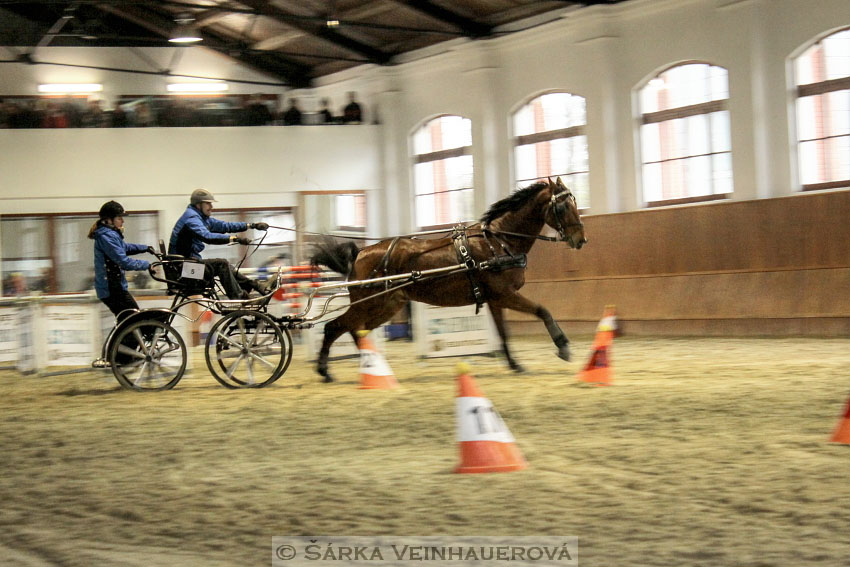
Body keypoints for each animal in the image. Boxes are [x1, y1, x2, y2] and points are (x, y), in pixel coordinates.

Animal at [310, 178, 584, 382]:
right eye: (562, 207)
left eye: (574, 202)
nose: (580, 239)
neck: (498, 242)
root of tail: (361, 252)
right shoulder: (505, 295)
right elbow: (542, 310)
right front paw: (563, 346)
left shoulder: (496, 300)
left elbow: (503, 333)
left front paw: (515, 364)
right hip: (367, 303)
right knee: (336, 327)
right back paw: (326, 371)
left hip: (387, 304)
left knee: (358, 331)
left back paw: (372, 366)